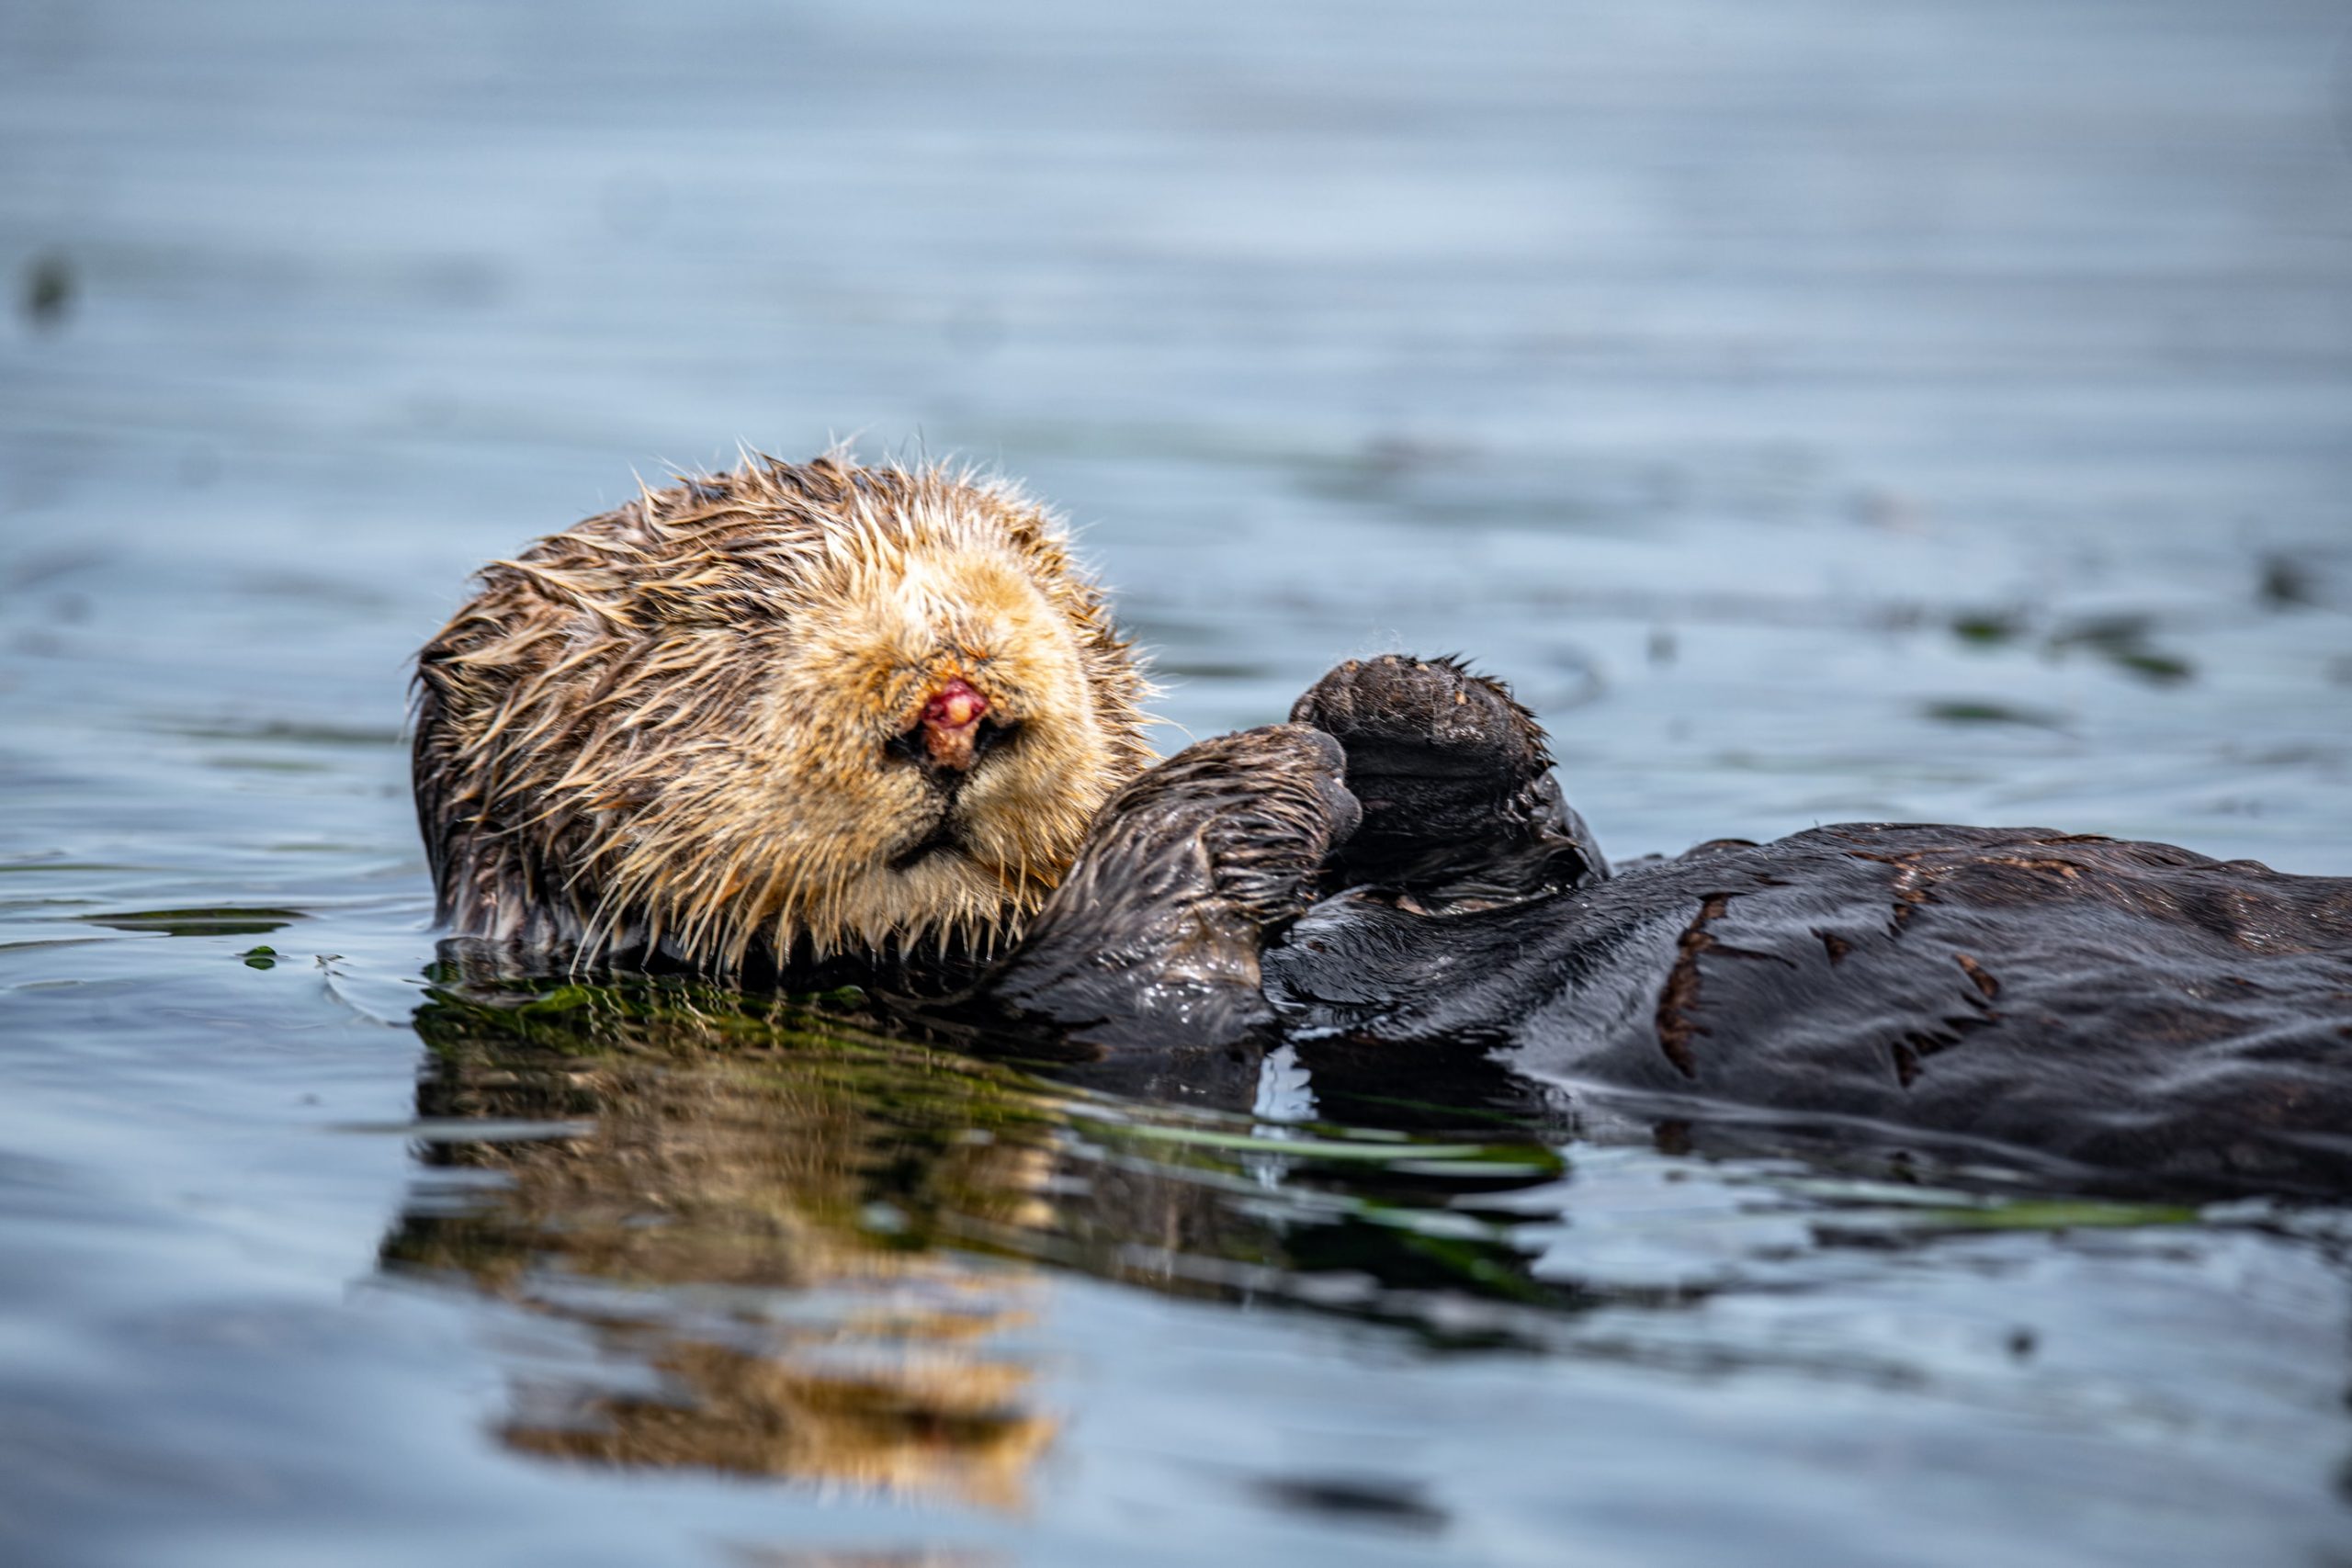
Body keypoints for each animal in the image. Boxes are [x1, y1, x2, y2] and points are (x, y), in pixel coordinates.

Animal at [415, 459, 2352, 1196]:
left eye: (1032, 568)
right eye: (732, 624)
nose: (964, 681)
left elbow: (1511, 862)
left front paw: (1395, 715)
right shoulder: (1065, 1031)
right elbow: (1147, 987)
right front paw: (1259, 779)